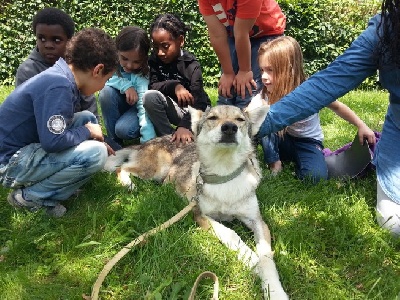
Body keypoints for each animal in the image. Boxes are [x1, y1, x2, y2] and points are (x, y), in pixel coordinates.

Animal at [103, 105, 288, 300]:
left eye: (240, 120)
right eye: (212, 118)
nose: (229, 127)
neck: (224, 175)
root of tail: (150, 141)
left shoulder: (257, 220)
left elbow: (267, 257)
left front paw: (274, 290)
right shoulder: (201, 215)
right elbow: (231, 234)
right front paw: (252, 260)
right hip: (154, 170)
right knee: (121, 168)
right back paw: (128, 184)